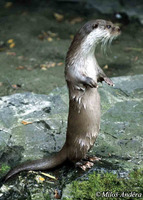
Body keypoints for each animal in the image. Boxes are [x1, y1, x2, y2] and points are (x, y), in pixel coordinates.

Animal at [3, 19, 120, 181]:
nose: (119, 29)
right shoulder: (72, 68)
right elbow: (79, 78)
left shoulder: (96, 67)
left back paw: (91, 158)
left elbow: (101, 74)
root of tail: (66, 146)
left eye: (111, 23)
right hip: (80, 143)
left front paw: (109, 81)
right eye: (109, 26)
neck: (85, 58)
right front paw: (90, 83)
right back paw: (83, 164)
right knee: (72, 159)